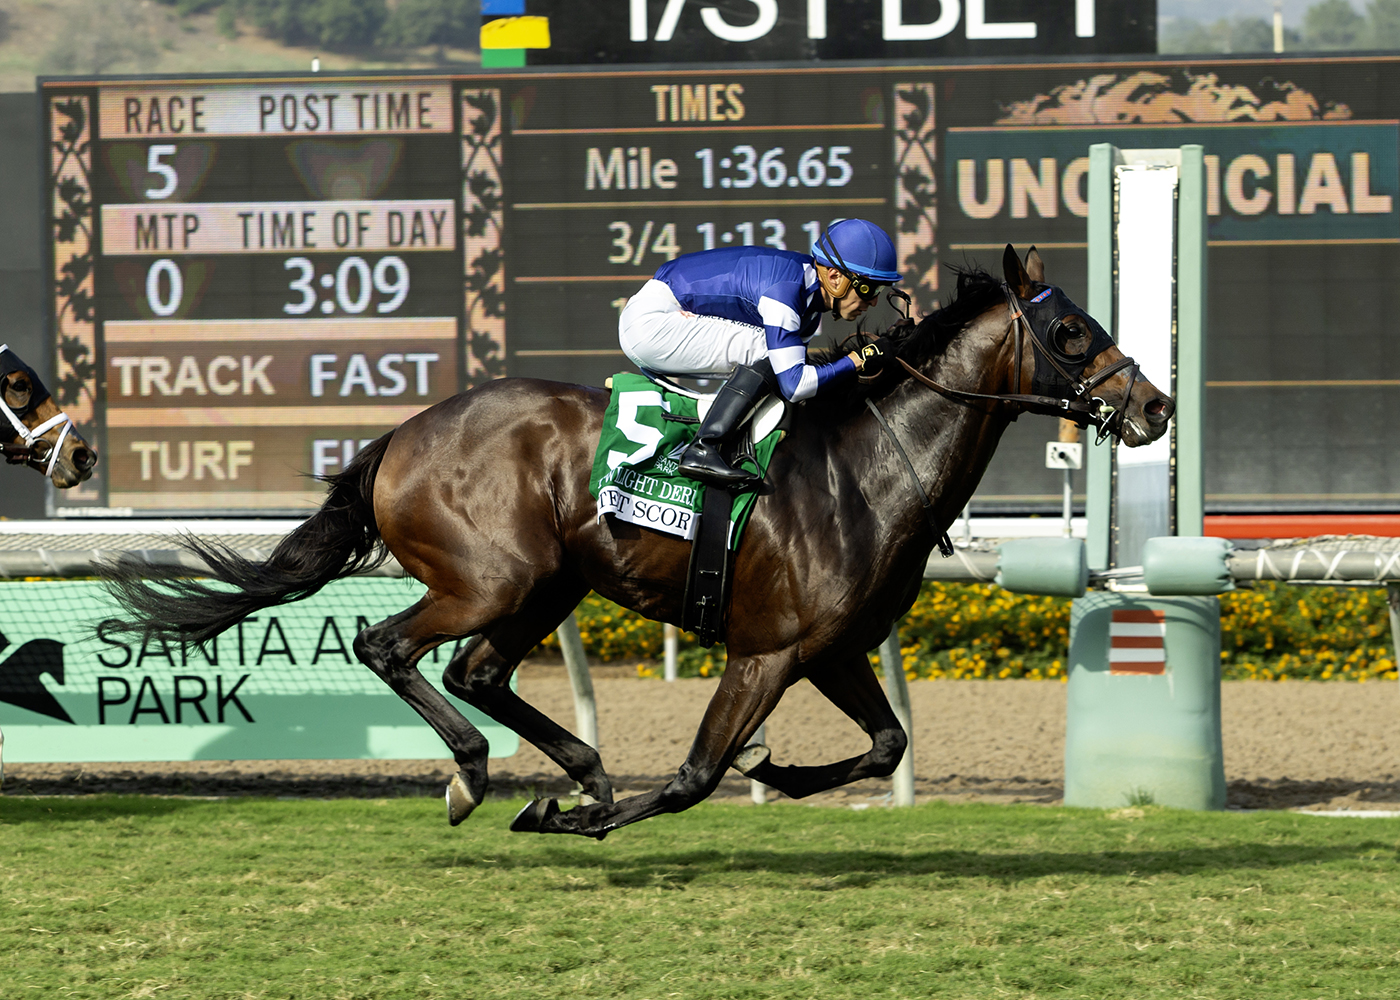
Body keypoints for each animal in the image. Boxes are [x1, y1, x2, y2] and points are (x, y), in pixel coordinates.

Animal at [101, 246, 1173, 839]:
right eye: (1073, 334)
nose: (1157, 408)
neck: (870, 467)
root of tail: (402, 433)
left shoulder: (830, 648)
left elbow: (885, 744)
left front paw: (772, 771)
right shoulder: (766, 650)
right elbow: (696, 777)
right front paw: (589, 817)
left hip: (550, 586)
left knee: (477, 672)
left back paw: (571, 768)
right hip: (493, 579)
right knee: (389, 646)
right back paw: (484, 775)